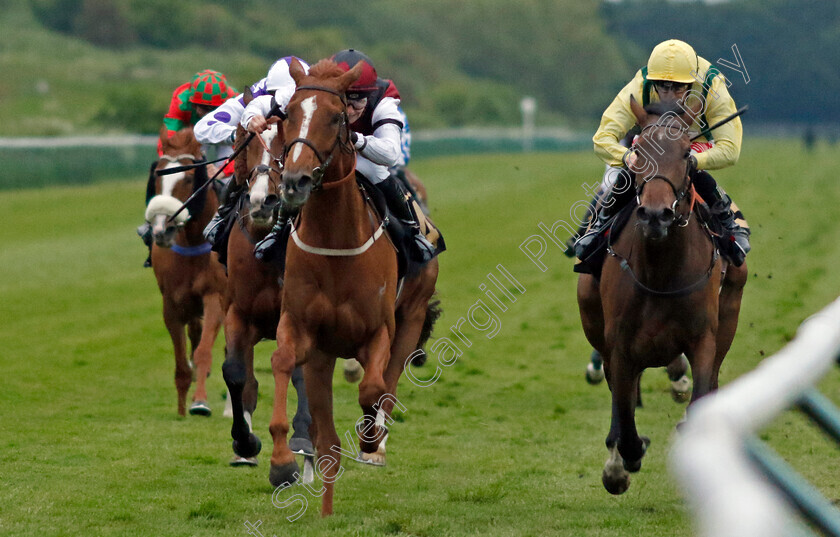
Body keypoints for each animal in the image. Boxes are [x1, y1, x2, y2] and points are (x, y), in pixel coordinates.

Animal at [145, 125, 228, 414]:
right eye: (157, 176)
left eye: (190, 178)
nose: (162, 230)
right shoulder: (171, 302)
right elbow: (182, 360)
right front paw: (181, 408)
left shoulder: (216, 297)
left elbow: (203, 351)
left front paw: (199, 402)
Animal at [220, 112, 316, 474]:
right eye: (246, 142)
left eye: (285, 144)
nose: (263, 201)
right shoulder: (237, 312)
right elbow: (235, 373)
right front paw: (245, 441)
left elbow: (300, 375)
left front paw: (301, 437)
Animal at [268, 59, 440, 516]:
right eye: (288, 114)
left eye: (335, 116)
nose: (294, 181)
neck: (336, 243)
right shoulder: (301, 328)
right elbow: (281, 361)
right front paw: (281, 462)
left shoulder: (378, 331)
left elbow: (373, 388)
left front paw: (370, 440)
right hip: (323, 355)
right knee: (327, 441)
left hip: (411, 315)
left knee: (389, 385)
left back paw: (374, 443)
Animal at [576, 97, 748, 494]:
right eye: (638, 151)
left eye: (686, 153)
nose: (656, 215)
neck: (660, 270)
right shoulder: (619, 346)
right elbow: (623, 413)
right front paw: (621, 463)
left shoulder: (703, 338)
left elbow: (701, 390)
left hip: (729, 314)